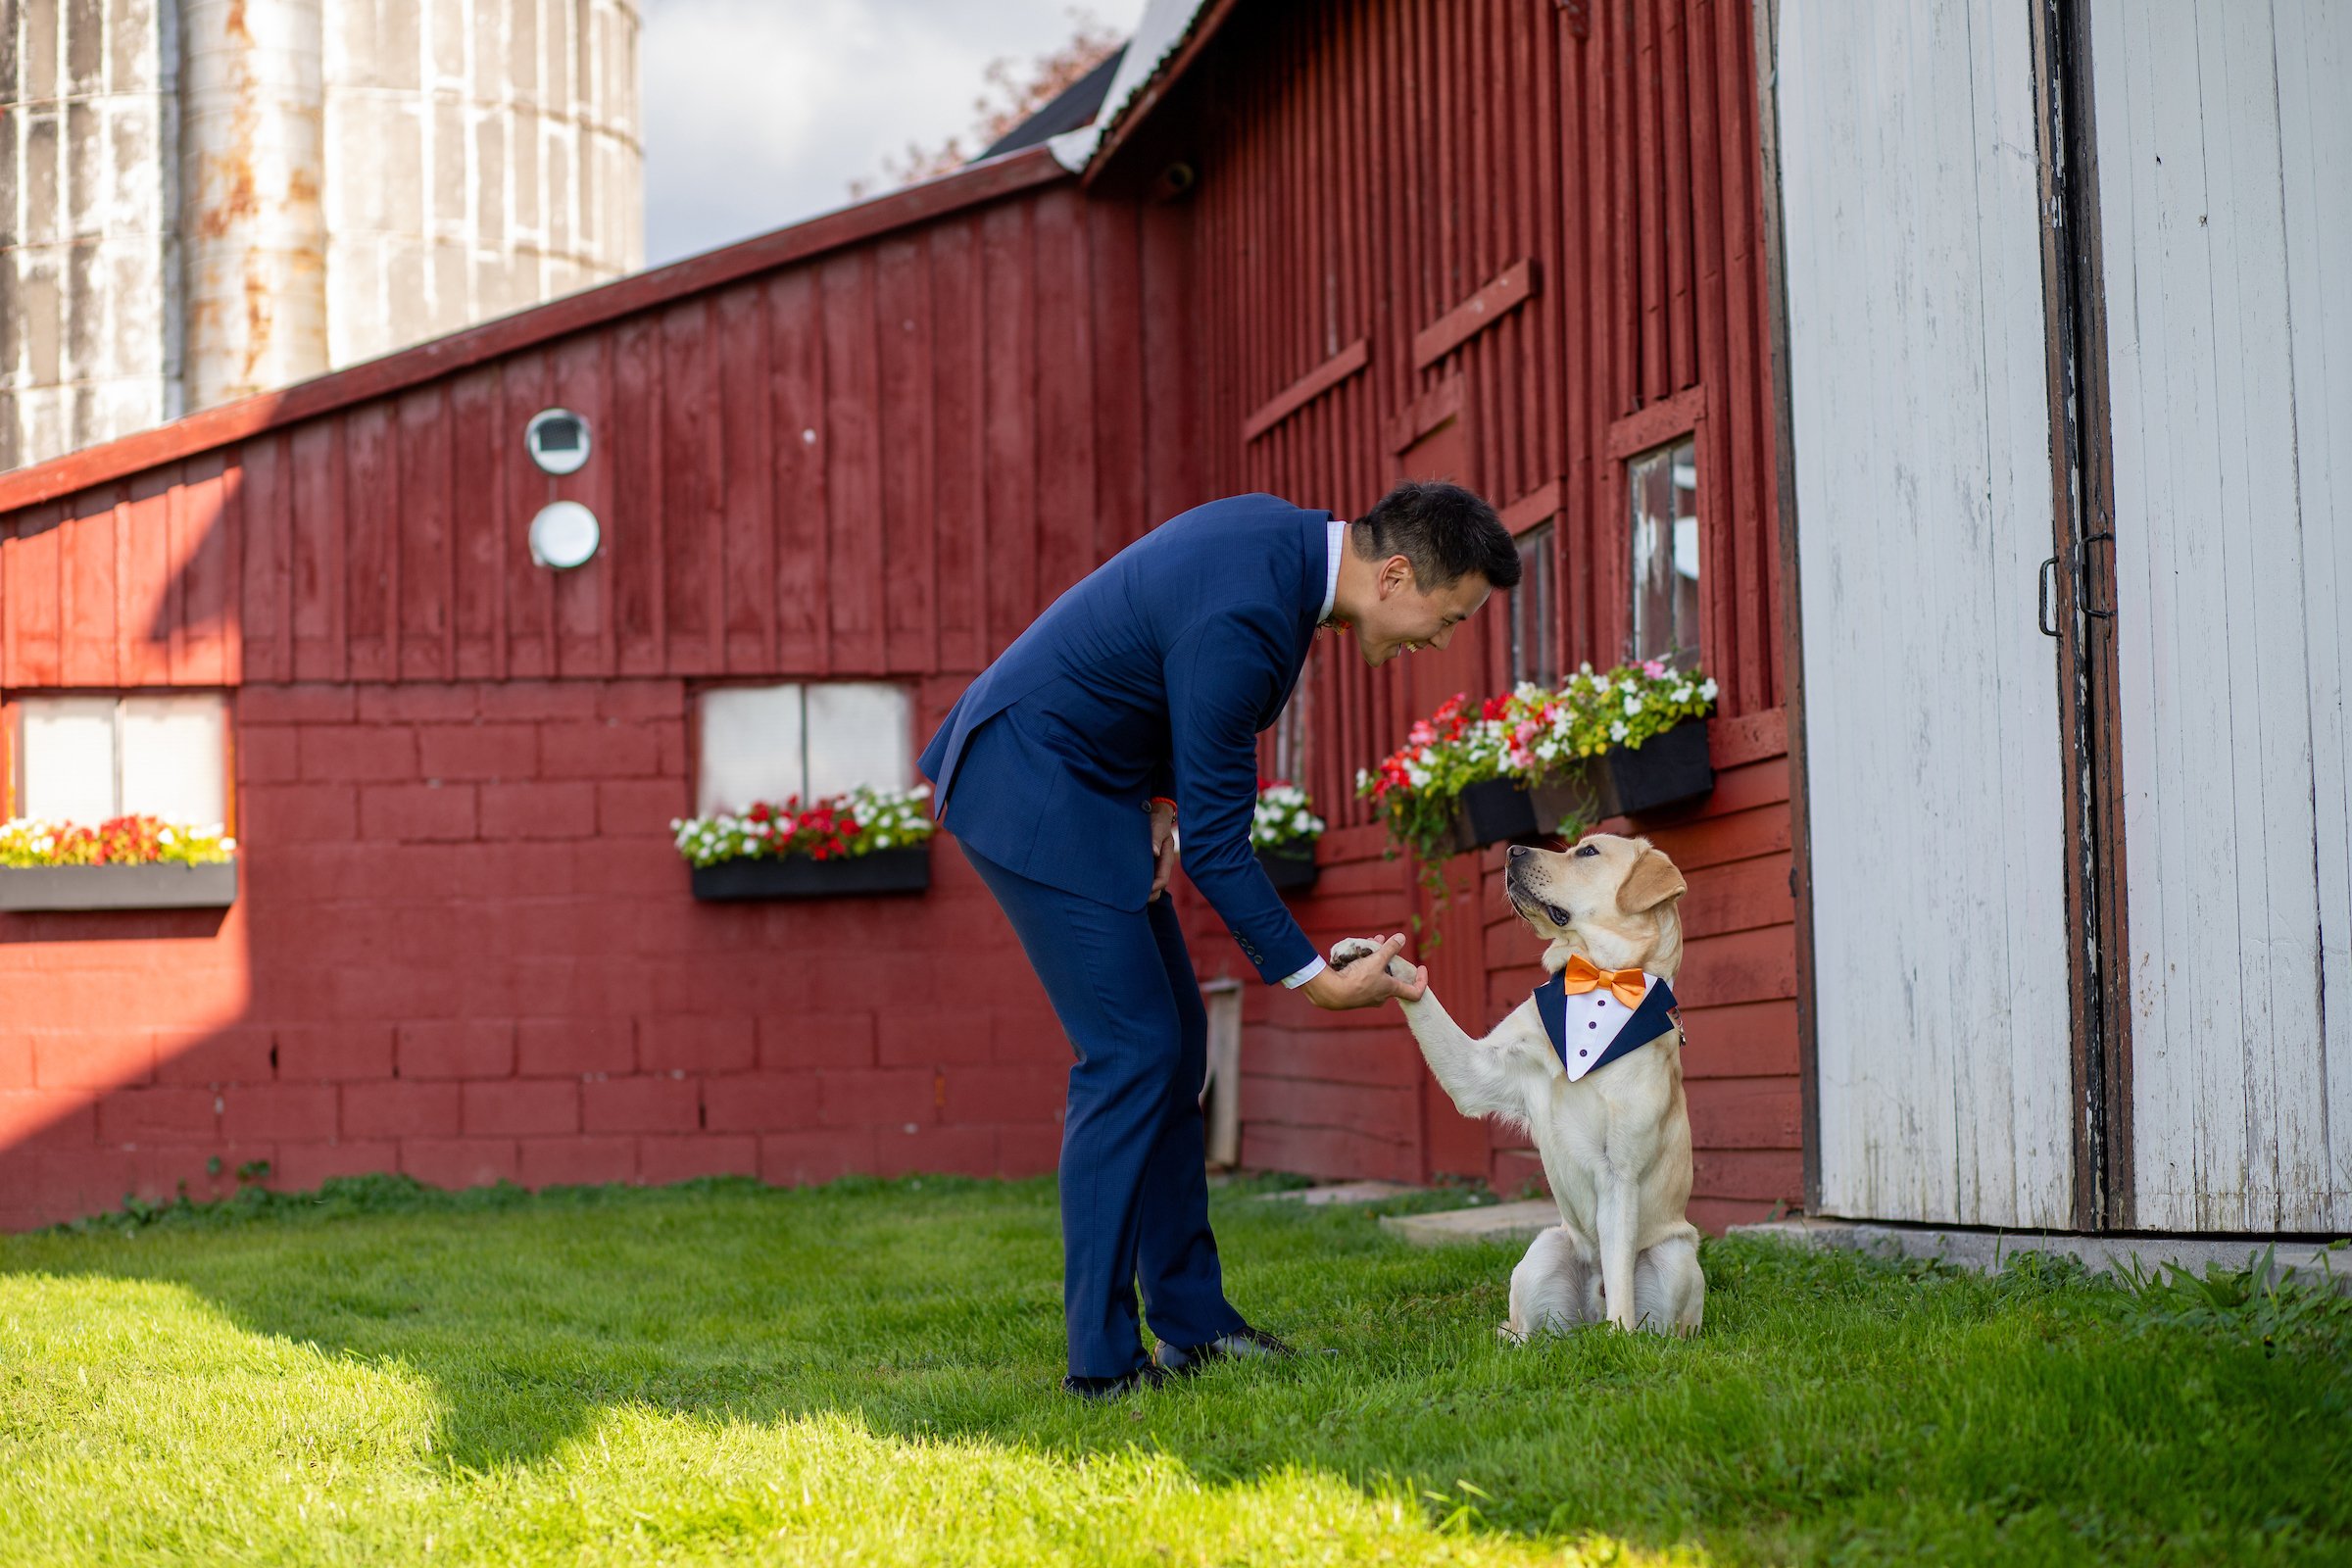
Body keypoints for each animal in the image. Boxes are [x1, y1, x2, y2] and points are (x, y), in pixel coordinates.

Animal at [1336, 832, 1702, 1335]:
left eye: (1588, 852)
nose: (1512, 851)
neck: (1599, 982)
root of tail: (1587, 1312)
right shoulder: (1477, 1069)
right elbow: (1423, 996)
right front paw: (1367, 952)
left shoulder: (1620, 1173)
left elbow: (1622, 1284)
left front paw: (1619, 1337)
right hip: (1542, 1252)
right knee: (1527, 1332)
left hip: (1676, 1256)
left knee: (1645, 1309)